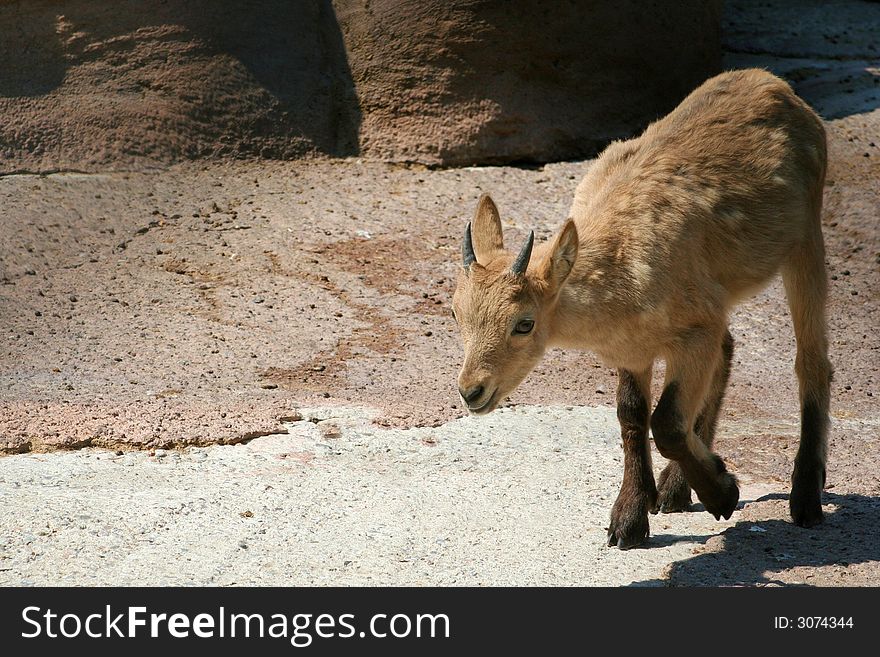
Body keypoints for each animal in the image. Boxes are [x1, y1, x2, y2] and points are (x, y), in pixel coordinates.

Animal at [454, 68, 832, 548]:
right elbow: (631, 414)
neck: (624, 269)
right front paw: (630, 518)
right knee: (730, 347)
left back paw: (805, 499)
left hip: (805, 241)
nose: (471, 391)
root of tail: (776, 85)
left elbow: (666, 421)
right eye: (456, 313)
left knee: (811, 361)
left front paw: (723, 494)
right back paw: (674, 490)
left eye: (524, 323)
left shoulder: (694, 331)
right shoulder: (636, 348)